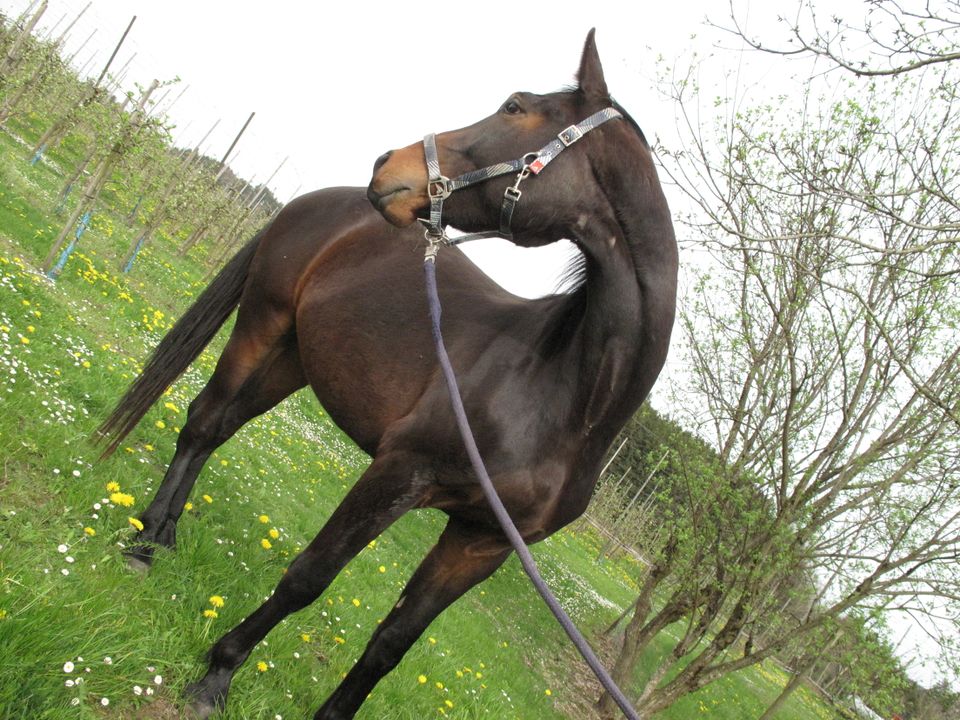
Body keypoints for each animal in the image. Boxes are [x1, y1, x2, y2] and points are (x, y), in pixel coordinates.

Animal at [99, 29, 676, 720]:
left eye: (514, 106)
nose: (387, 166)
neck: (564, 399)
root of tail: (319, 201)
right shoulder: (399, 473)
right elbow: (308, 577)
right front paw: (216, 676)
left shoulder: (482, 540)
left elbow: (393, 641)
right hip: (261, 324)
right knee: (203, 424)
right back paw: (143, 546)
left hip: (294, 359)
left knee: (221, 428)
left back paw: (161, 538)